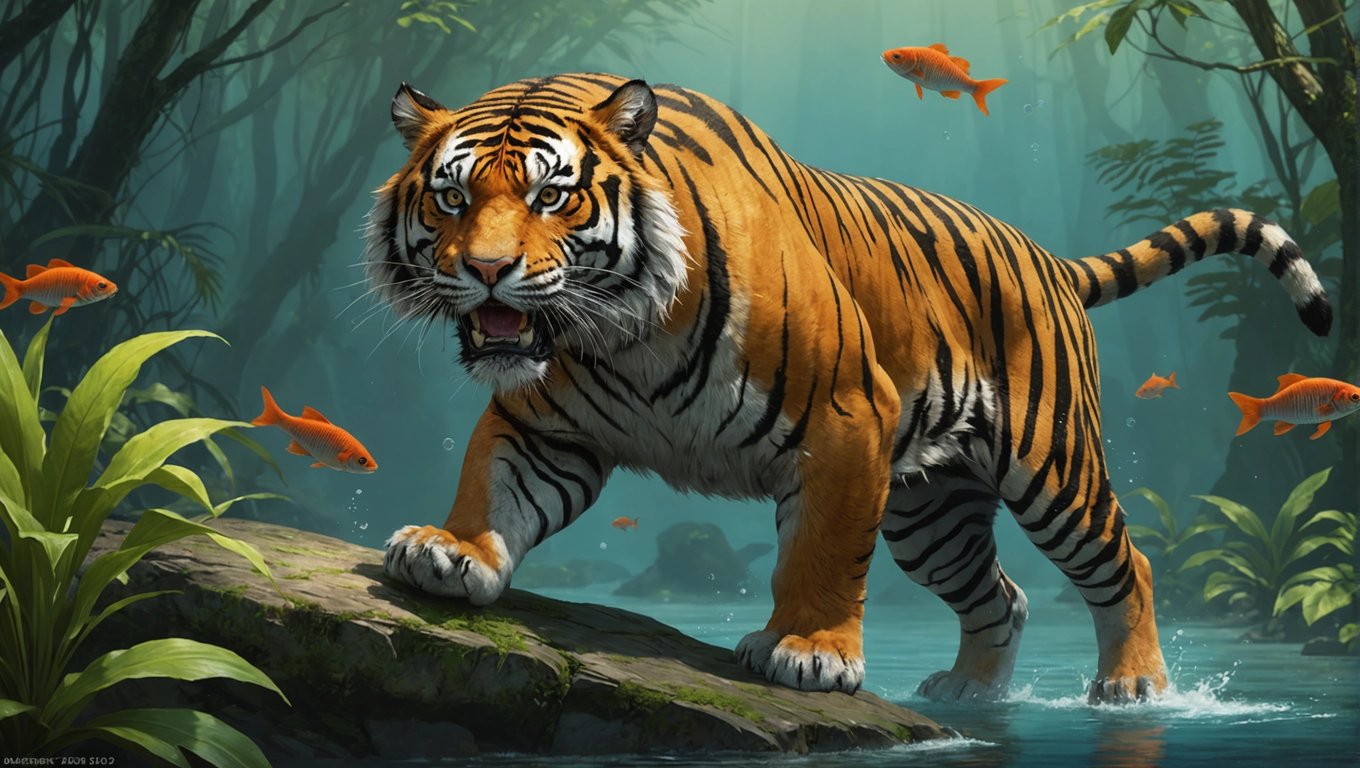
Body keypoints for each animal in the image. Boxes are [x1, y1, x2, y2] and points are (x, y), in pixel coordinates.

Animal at [365, 73, 1331, 703]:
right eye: (450, 199)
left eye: (552, 196)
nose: (488, 272)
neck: (621, 334)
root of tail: (1051, 258)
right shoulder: (543, 425)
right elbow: (492, 484)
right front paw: (449, 551)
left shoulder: (843, 423)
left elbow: (823, 556)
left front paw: (809, 653)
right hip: (929, 513)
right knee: (1003, 596)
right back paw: (969, 695)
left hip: (1052, 469)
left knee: (1126, 563)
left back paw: (1133, 688)